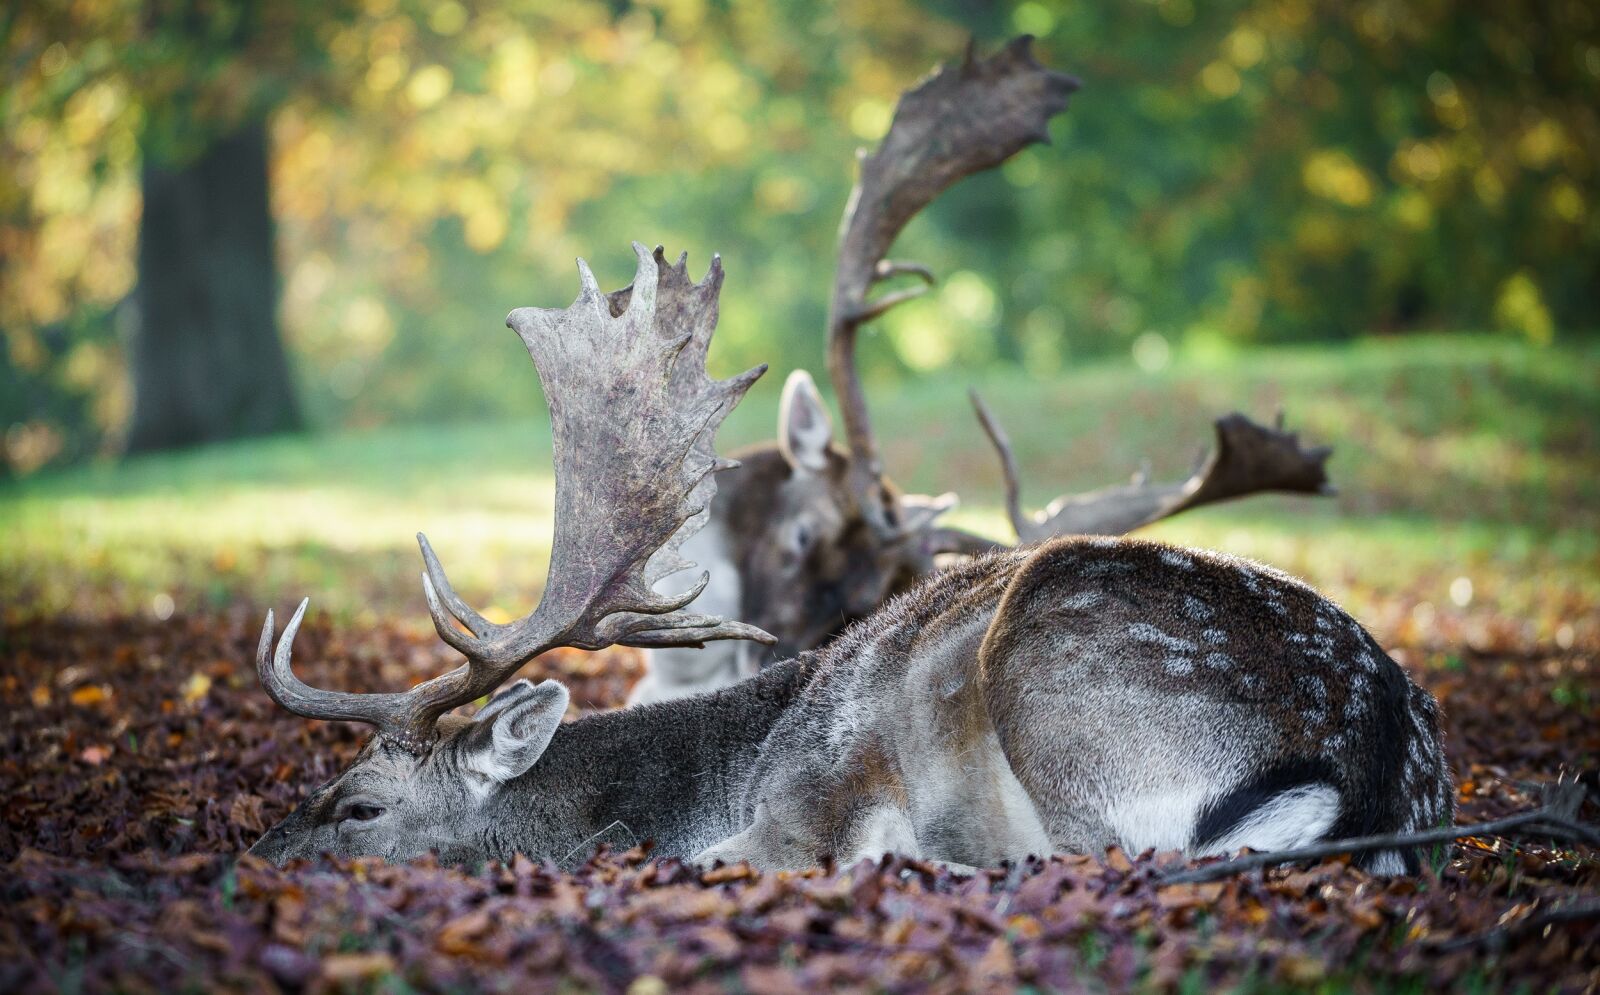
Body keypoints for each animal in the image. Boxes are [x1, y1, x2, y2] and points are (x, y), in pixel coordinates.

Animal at [246, 243, 1452, 883]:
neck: (715, 774)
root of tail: (1376, 763)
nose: (241, 859)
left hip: (1061, 699)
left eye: (357, 808)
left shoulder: (796, 809)